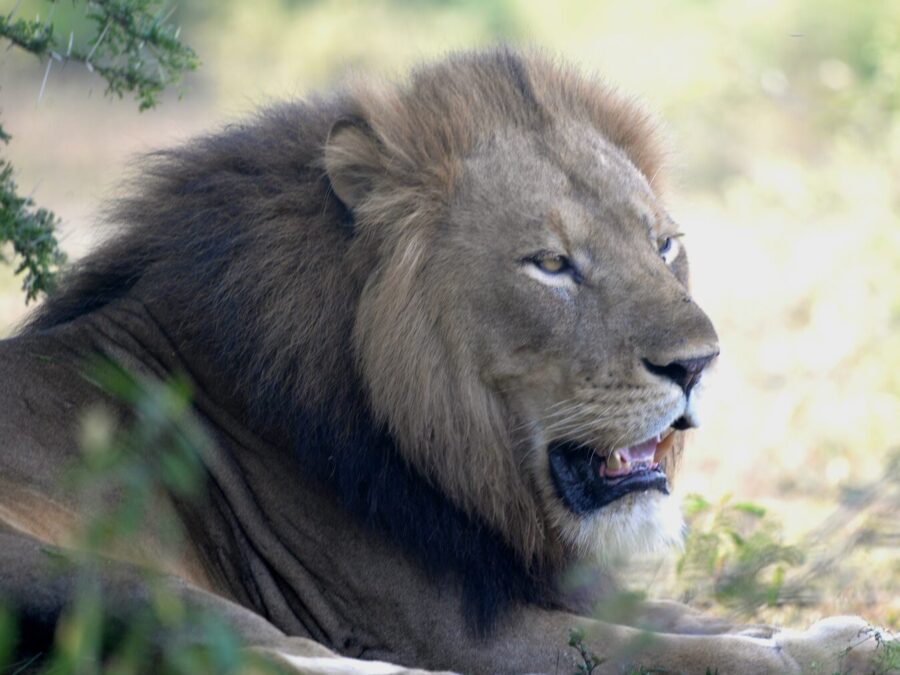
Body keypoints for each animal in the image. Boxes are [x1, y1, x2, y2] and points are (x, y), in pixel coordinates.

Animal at [0, 49, 891, 674]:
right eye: (551, 264)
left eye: (663, 244)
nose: (699, 363)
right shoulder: (449, 628)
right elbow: (681, 649)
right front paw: (817, 649)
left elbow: (690, 619)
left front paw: (854, 631)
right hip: (88, 563)